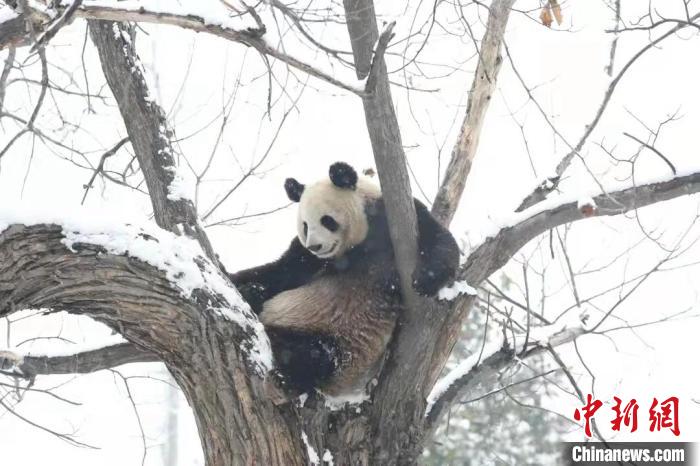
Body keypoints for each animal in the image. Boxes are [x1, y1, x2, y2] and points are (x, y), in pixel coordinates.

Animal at [230, 162, 460, 396]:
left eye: (327, 220)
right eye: (305, 225)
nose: (315, 246)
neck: (355, 246)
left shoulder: (395, 220)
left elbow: (440, 239)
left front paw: (425, 281)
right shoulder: (306, 258)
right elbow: (283, 271)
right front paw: (241, 282)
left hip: (338, 342)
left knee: (318, 355)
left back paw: (288, 378)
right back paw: (252, 293)